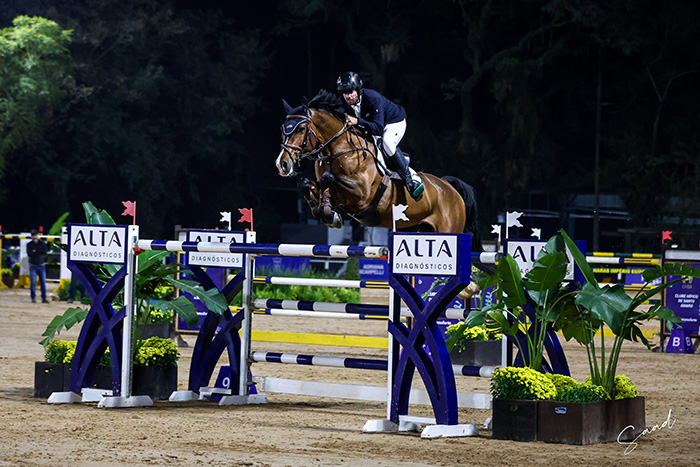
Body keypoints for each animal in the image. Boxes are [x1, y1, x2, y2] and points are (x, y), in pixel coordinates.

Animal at [276, 89, 483, 252]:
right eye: (282, 129)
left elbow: (329, 178)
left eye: (301, 129)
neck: (337, 148)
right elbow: (308, 183)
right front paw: (324, 210)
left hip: (449, 230)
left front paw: (328, 212)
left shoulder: (362, 194)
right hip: (417, 229)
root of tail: (450, 186)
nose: (282, 164)